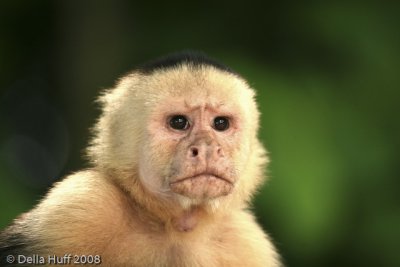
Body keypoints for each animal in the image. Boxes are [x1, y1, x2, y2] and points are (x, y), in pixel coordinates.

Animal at [0, 51, 282, 266]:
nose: (207, 148)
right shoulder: (78, 208)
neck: (175, 226)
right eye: (178, 122)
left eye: (220, 124)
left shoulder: (248, 243)